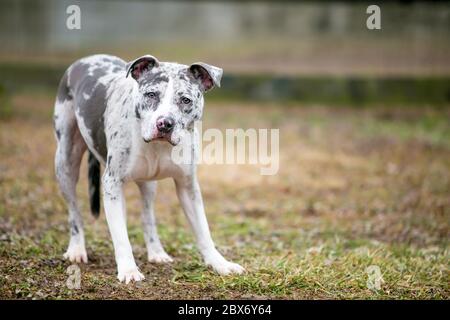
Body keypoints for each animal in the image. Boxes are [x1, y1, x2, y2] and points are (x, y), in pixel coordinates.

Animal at [54, 54, 244, 282]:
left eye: (186, 100)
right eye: (151, 94)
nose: (165, 123)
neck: (158, 146)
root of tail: (88, 58)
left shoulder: (188, 187)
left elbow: (203, 231)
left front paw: (219, 263)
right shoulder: (112, 183)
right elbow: (120, 236)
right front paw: (128, 270)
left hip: (147, 185)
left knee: (147, 216)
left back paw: (156, 252)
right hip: (66, 163)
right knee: (74, 212)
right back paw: (76, 249)